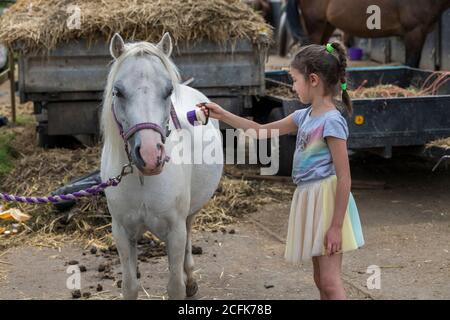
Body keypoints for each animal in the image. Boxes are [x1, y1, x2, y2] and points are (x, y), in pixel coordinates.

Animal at [100, 33, 223, 300]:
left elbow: (175, 286)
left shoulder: (174, 232)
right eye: (118, 91)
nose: (149, 155)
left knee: (188, 235)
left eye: (168, 91)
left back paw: (191, 280)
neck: (142, 179)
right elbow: (130, 286)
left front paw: (185, 283)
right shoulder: (122, 232)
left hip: (189, 214)